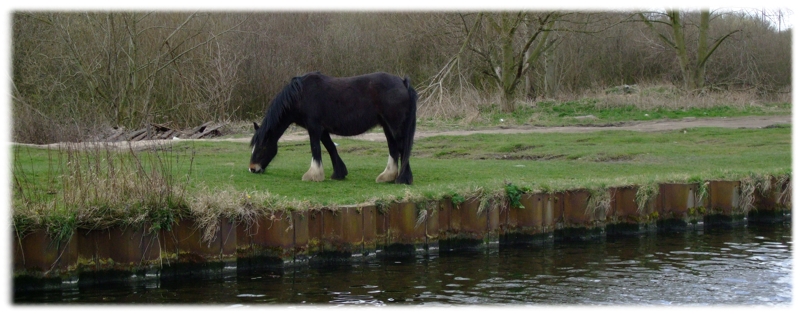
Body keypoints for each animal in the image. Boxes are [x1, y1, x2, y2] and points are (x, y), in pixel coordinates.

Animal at [248, 71, 418, 184]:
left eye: (262, 147)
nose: (252, 168)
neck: (301, 95)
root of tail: (403, 82)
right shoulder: (322, 129)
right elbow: (330, 147)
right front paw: (339, 173)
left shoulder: (314, 128)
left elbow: (315, 148)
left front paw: (313, 175)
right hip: (387, 126)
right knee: (394, 148)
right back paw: (388, 176)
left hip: (395, 125)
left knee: (402, 148)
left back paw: (403, 179)